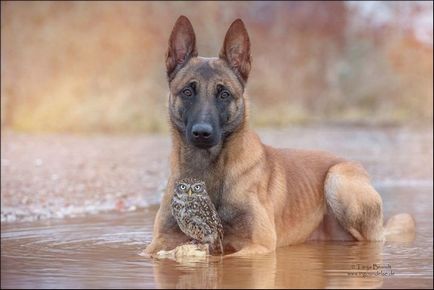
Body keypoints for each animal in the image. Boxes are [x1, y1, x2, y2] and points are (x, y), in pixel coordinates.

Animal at [142, 15, 414, 256]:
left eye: (224, 94)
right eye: (188, 92)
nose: (202, 133)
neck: (206, 169)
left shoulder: (258, 246)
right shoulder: (159, 242)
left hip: (338, 180)